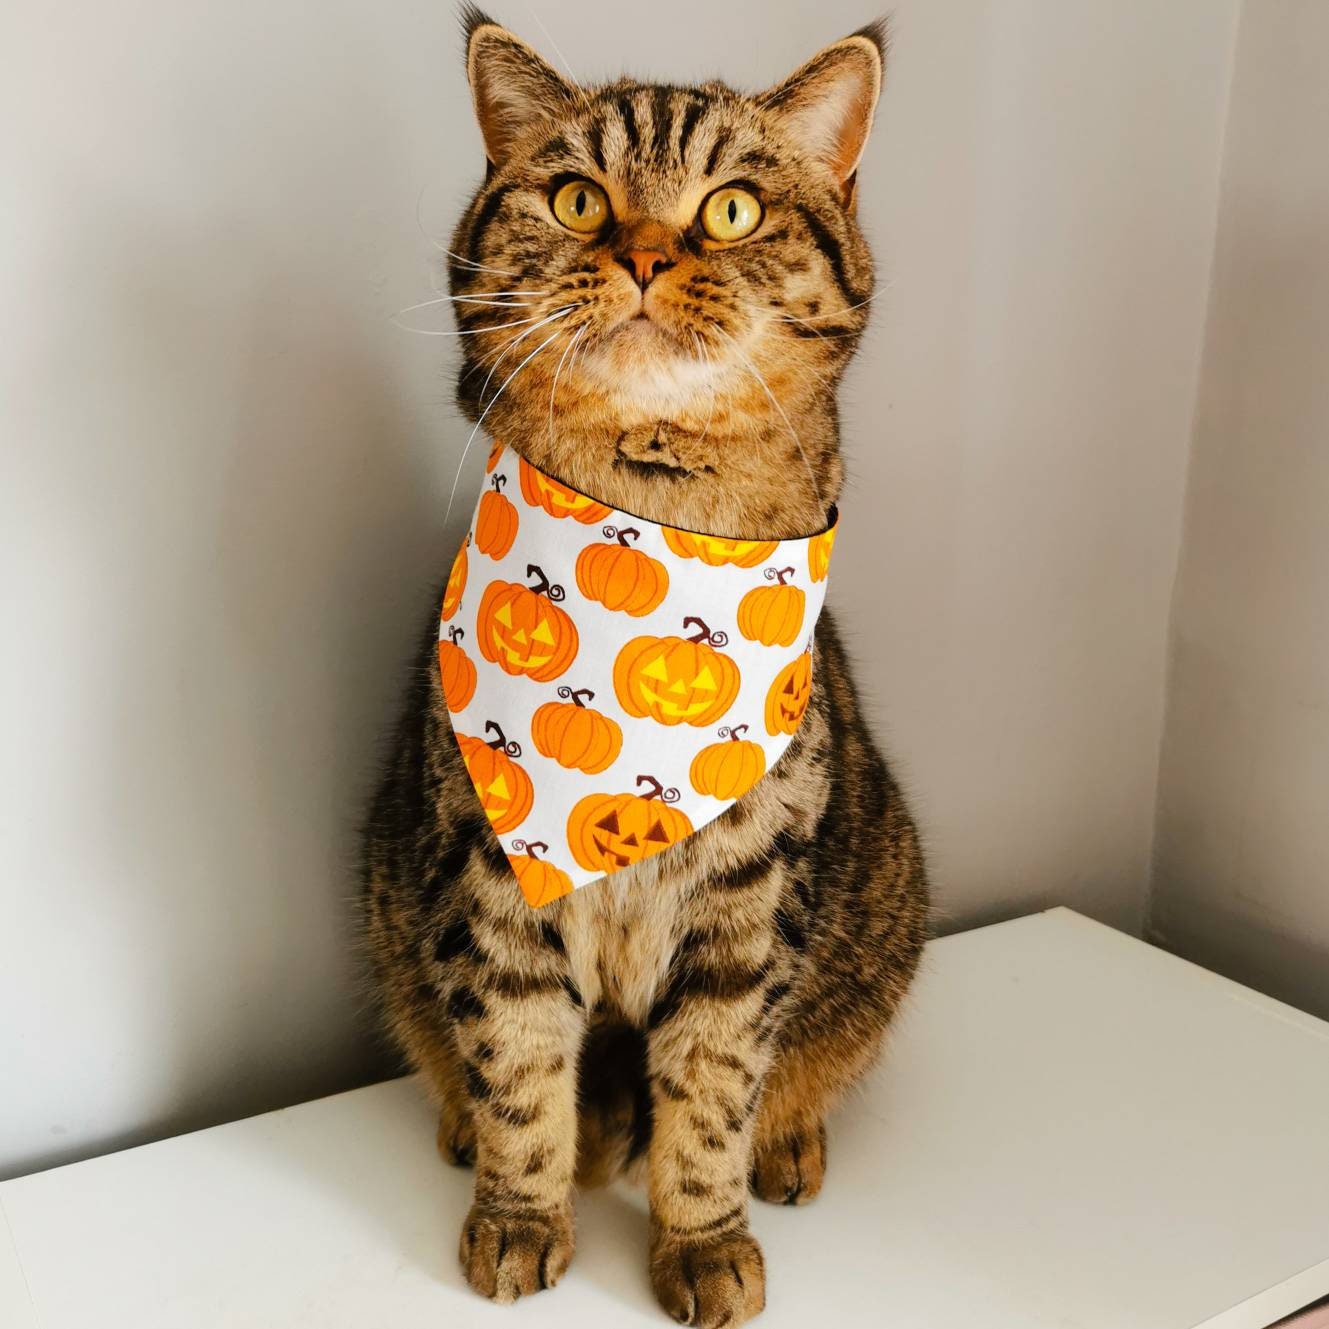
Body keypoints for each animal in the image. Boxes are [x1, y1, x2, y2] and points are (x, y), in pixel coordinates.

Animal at [358, 12, 930, 1329]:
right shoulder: (491, 888)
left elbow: (711, 1098)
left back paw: (790, 1146)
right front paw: (520, 1218)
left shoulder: (748, 910)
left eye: (730, 209)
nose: (647, 256)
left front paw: (704, 1243)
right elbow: (519, 1074)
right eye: (578, 198)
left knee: (799, 1075)